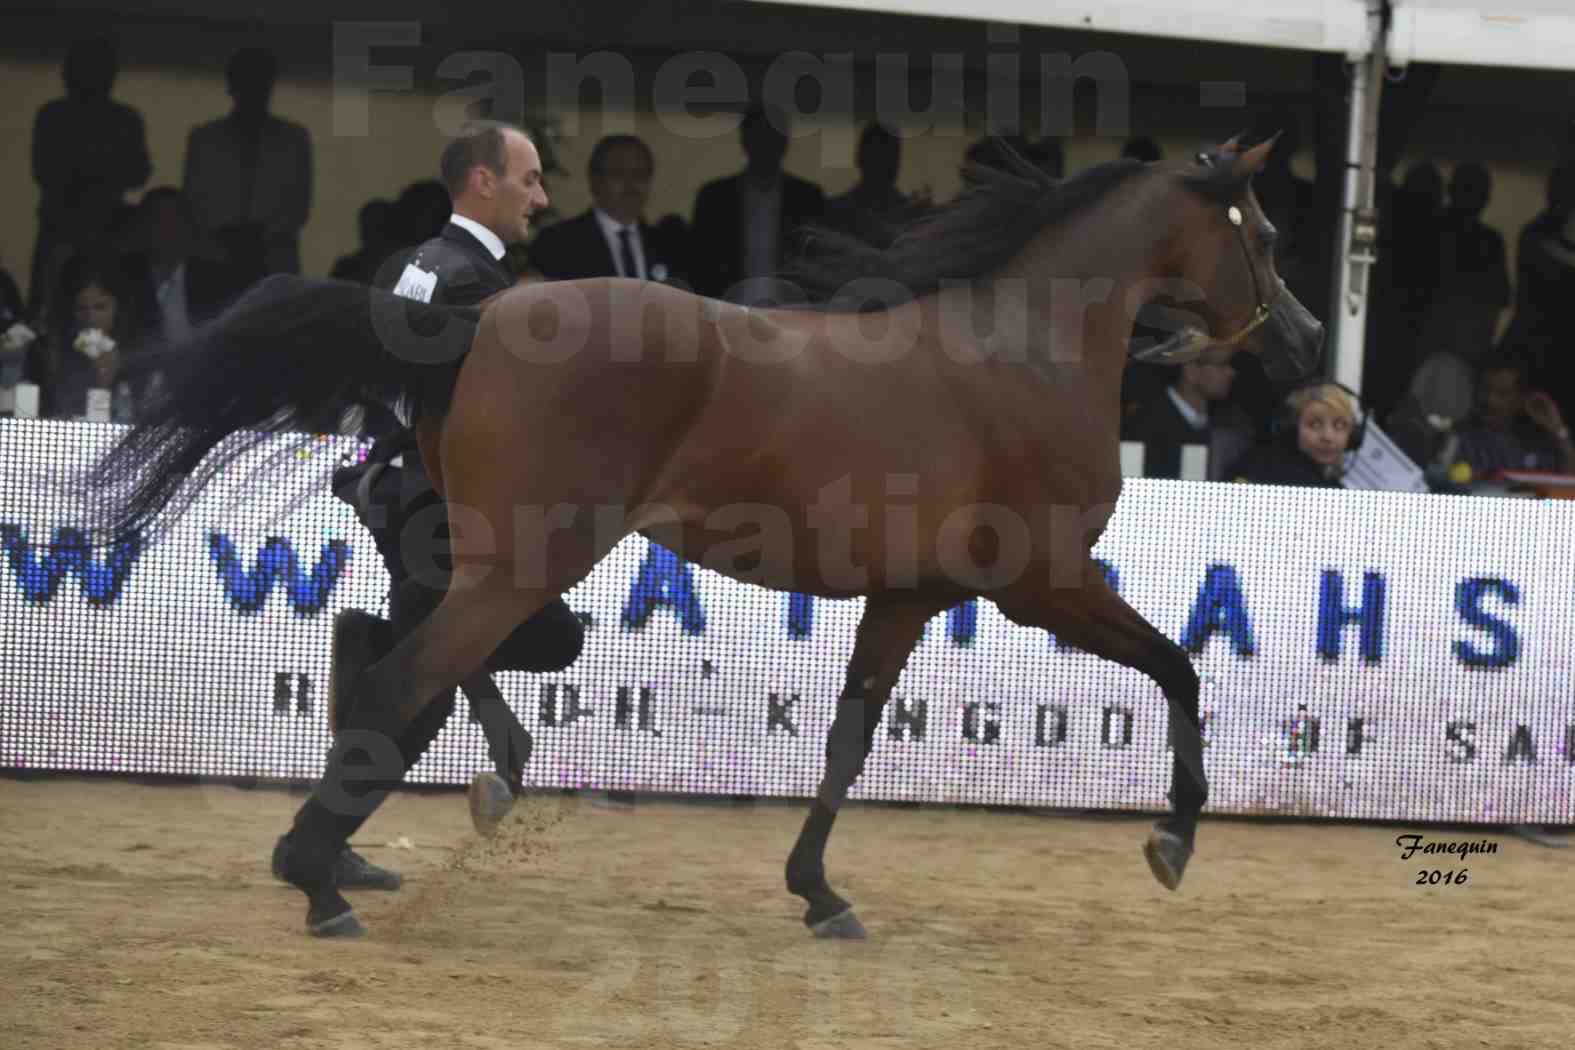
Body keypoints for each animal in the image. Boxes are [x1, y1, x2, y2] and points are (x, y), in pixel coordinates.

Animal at [83, 137, 1316, 938]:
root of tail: (479, 318)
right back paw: (324, 878)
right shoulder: (1046, 583)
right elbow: (1181, 668)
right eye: (1259, 231)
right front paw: (1173, 842)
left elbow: (848, 740)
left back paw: (404, 822)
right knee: (405, 674)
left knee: (403, 651)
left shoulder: (910, 595)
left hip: (496, 561)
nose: (1304, 341)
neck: (1019, 355)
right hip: (531, 560)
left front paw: (818, 894)